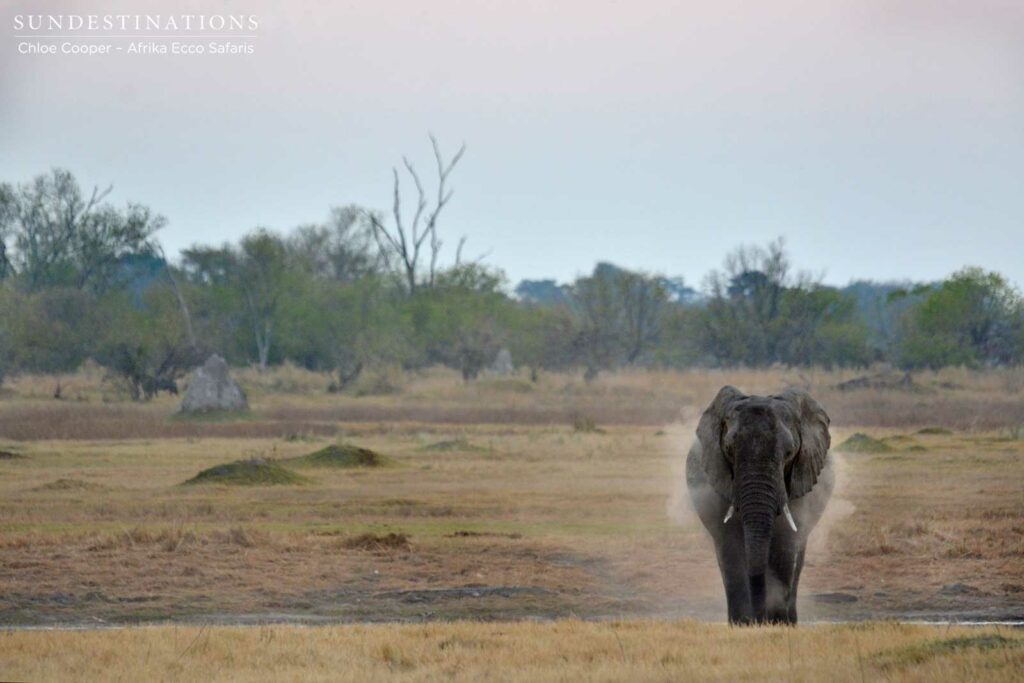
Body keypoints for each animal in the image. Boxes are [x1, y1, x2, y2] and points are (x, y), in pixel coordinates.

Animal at [686, 385, 833, 625]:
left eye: (790, 453)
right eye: (729, 449)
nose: (759, 619)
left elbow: (785, 542)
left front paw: (778, 624)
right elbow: (730, 545)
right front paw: (742, 624)